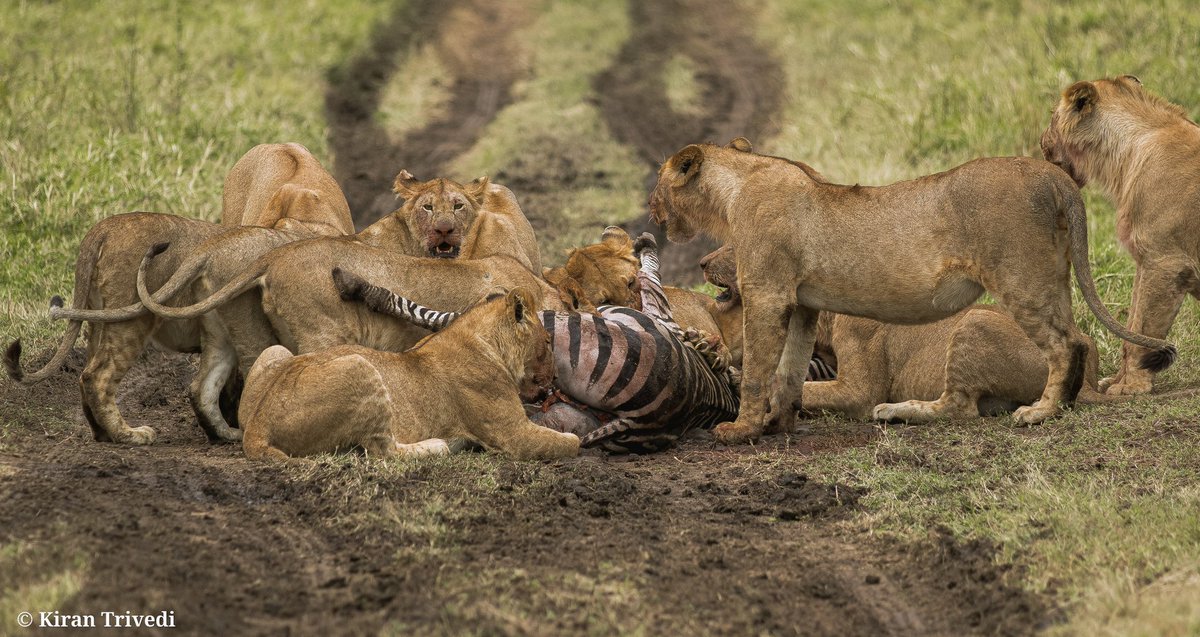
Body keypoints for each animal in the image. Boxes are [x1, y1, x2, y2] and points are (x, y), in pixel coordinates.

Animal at [237, 286, 576, 460]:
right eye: (548, 342)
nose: (556, 378)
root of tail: (257, 427)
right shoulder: (513, 436)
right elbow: (568, 443)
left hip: (276, 352)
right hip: (359, 365)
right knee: (383, 452)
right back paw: (437, 446)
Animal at [648, 136, 1171, 443]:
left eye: (658, 181)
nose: (651, 208)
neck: (740, 180)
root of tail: (1054, 175)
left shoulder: (768, 295)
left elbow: (760, 370)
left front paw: (742, 429)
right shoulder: (801, 305)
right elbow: (789, 371)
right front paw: (779, 422)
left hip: (1014, 286)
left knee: (1038, 362)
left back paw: (1036, 413)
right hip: (1050, 280)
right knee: (1076, 340)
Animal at [1041, 73, 1200, 393]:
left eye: (1053, 116)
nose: (1041, 144)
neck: (1125, 156)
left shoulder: (1166, 262)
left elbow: (1145, 328)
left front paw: (1132, 387)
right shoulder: (1145, 260)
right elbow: (1133, 325)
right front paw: (1117, 381)